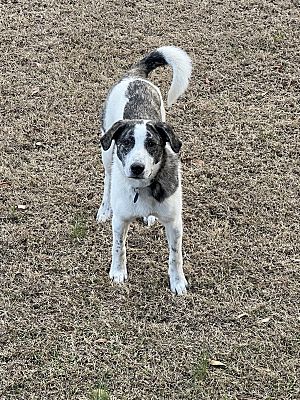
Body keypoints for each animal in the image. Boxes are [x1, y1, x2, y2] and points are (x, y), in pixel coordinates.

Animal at [97, 46, 193, 294]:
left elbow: (175, 256)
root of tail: (135, 76)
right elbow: (119, 248)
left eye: (152, 144)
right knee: (107, 179)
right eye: (127, 143)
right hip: (106, 152)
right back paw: (104, 208)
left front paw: (177, 282)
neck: (142, 189)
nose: (137, 167)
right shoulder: (121, 220)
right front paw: (118, 272)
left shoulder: (174, 222)